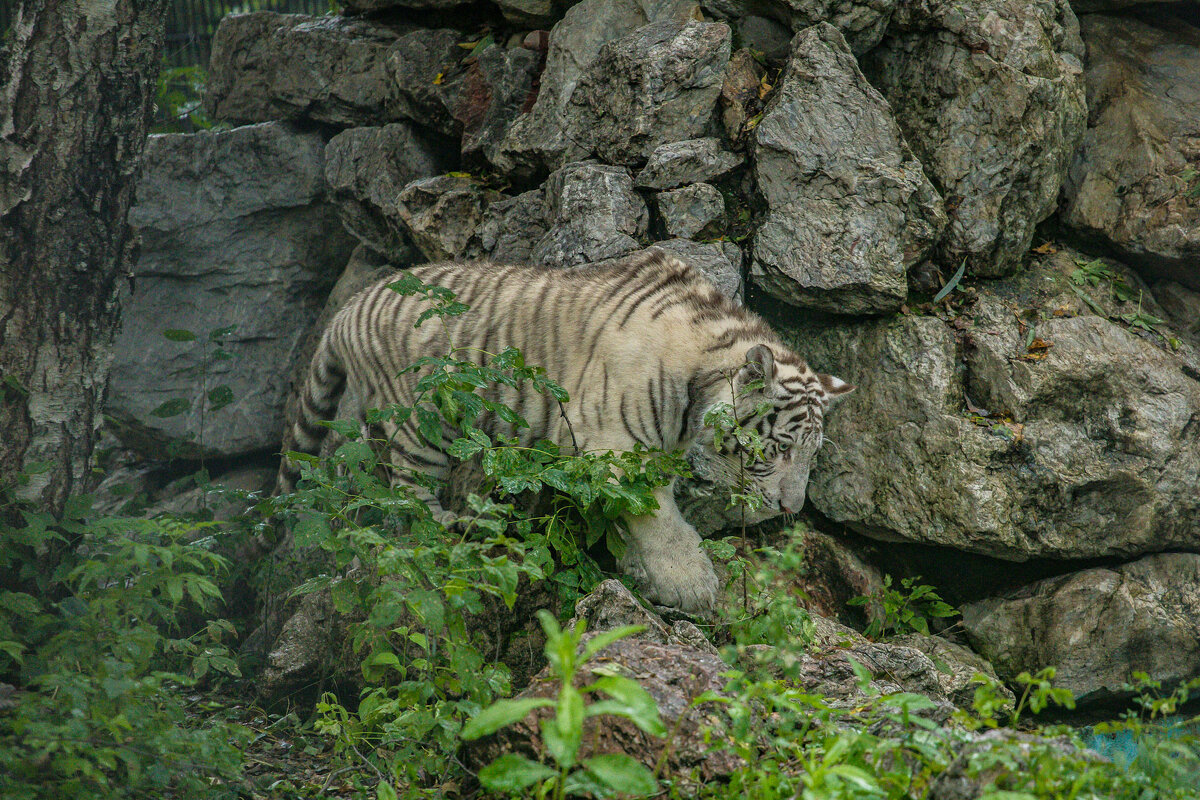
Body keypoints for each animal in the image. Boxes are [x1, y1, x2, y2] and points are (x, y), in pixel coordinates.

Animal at [278, 250, 854, 614]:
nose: (789, 510)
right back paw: (445, 526)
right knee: (406, 494)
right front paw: (690, 584)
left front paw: (642, 571)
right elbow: (656, 518)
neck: (701, 374)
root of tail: (350, 306)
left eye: (811, 457)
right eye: (778, 450)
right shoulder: (614, 448)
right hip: (422, 420)